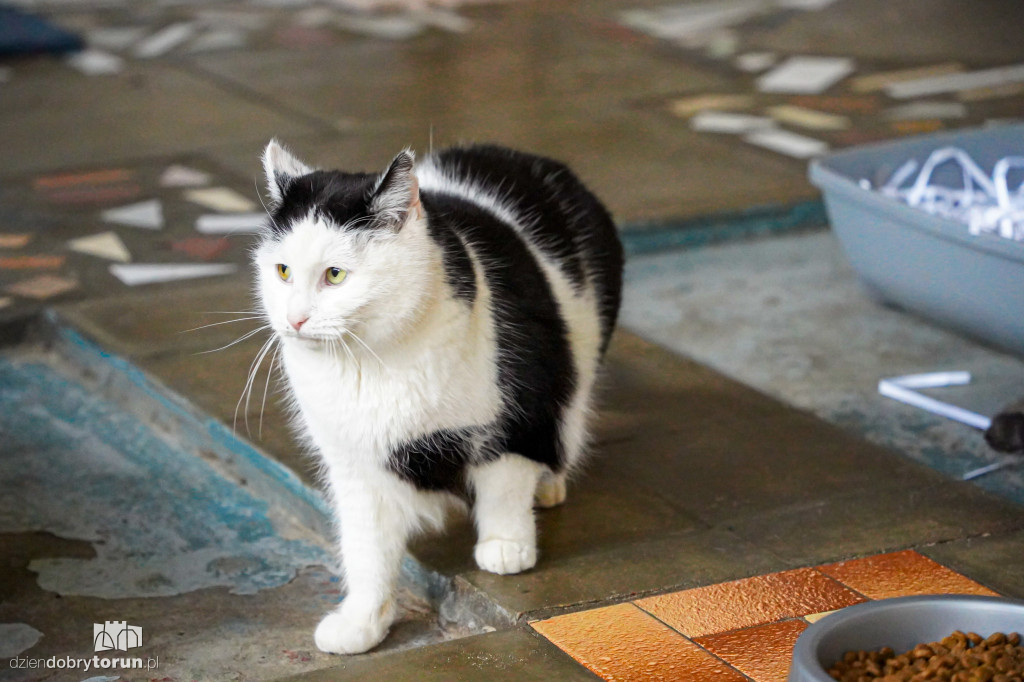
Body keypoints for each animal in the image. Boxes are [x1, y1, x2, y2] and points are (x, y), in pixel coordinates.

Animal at [256, 139, 622, 655]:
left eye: (336, 275)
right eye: (283, 271)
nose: (295, 319)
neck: (369, 362)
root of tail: (525, 156)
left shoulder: (514, 415)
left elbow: (505, 482)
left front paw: (506, 545)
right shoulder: (354, 465)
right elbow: (366, 549)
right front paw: (361, 624)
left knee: (566, 417)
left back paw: (549, 485)